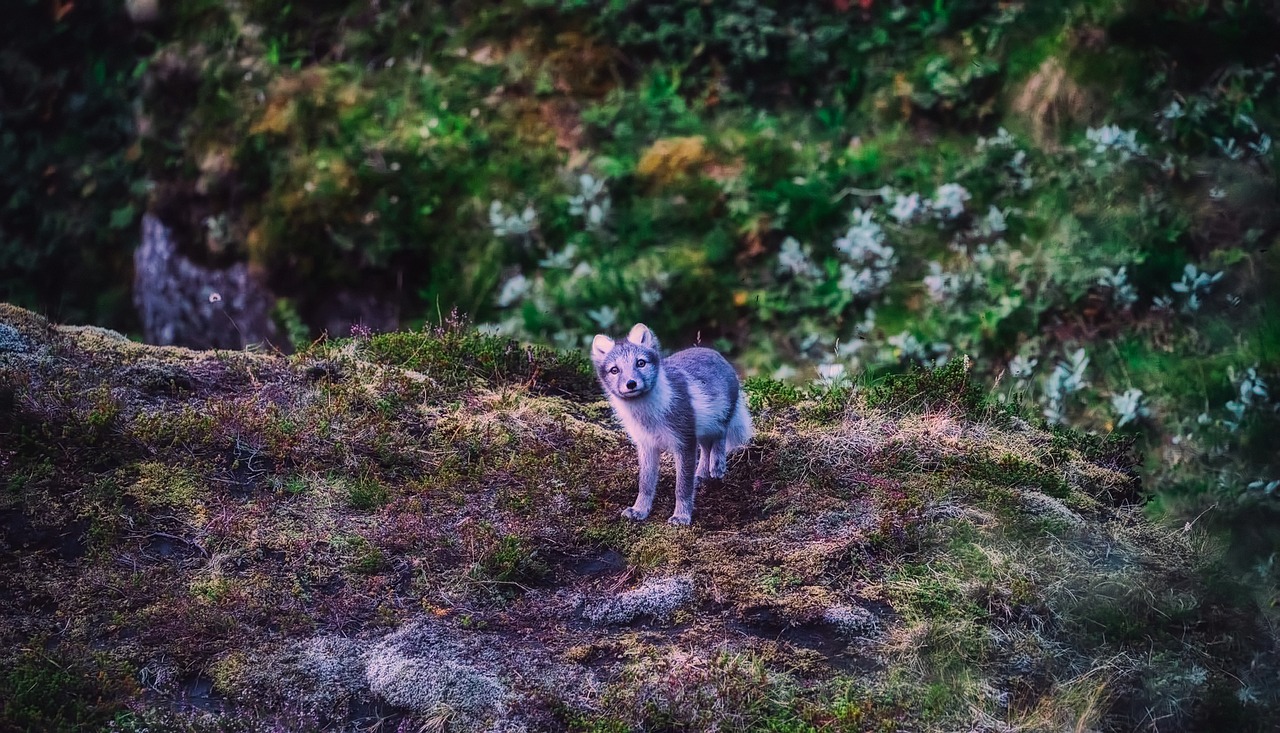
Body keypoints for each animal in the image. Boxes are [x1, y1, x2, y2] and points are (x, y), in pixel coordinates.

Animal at [593, 322, 752, 521]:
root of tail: (713, 352)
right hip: (700, 429)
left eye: (640, 363)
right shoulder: (646, 445)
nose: (631, 383)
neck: (648, 416)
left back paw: (717, 465)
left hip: (717, 418)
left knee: (720, 435)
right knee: (705, 449)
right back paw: (701, 475)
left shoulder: (684, 441)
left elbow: (682, 487)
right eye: (614, 370)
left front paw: (682, 516)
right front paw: (639, 510)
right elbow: (645, 484)